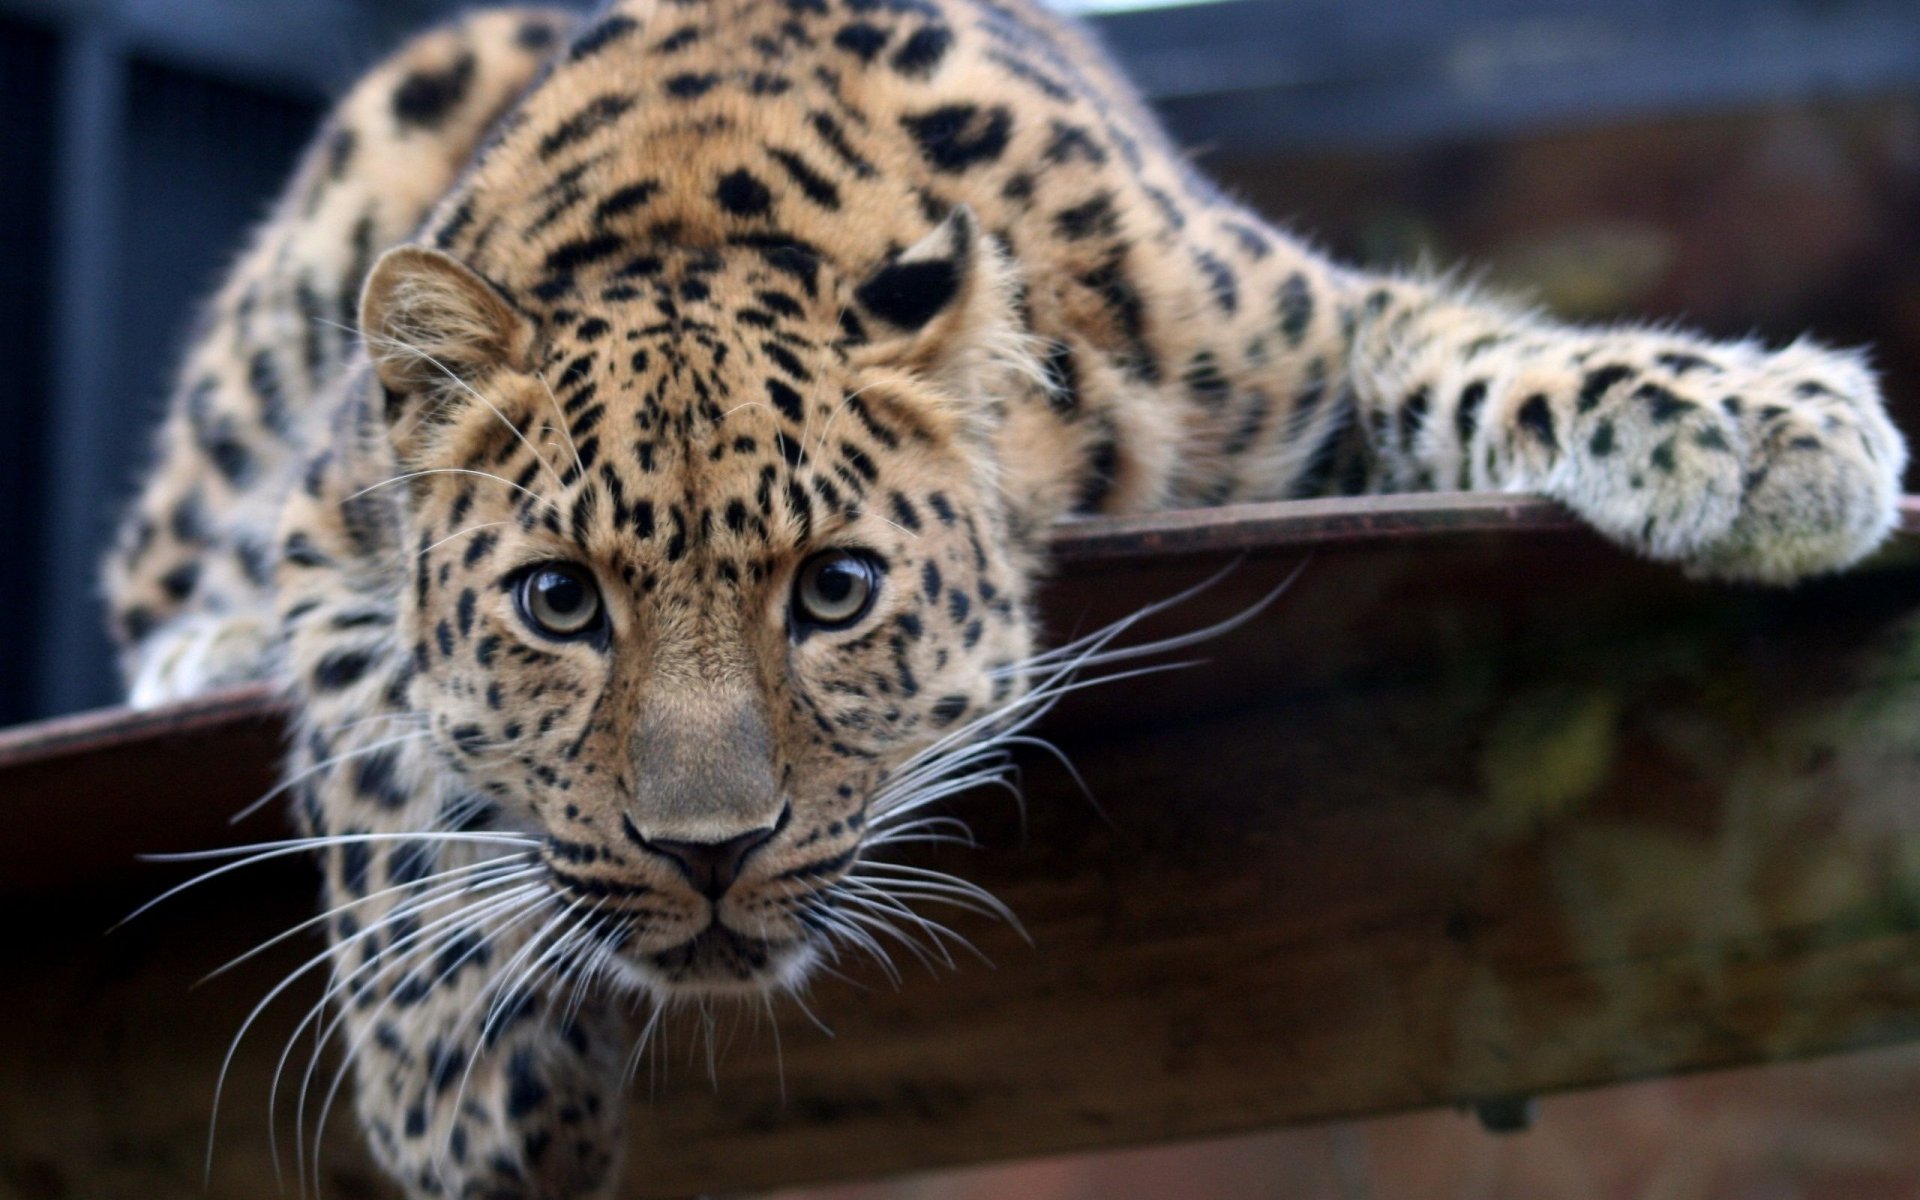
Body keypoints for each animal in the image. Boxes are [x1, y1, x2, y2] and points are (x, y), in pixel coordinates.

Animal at [101, 0, 1907, 1195]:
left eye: (835, 591)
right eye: (558, 603)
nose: (707, 854)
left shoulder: (1303, 340)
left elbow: (1480, 352)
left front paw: (1768, 428)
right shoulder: (333, 535)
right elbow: (380, 768)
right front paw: (466, 1100)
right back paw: (197, 639)